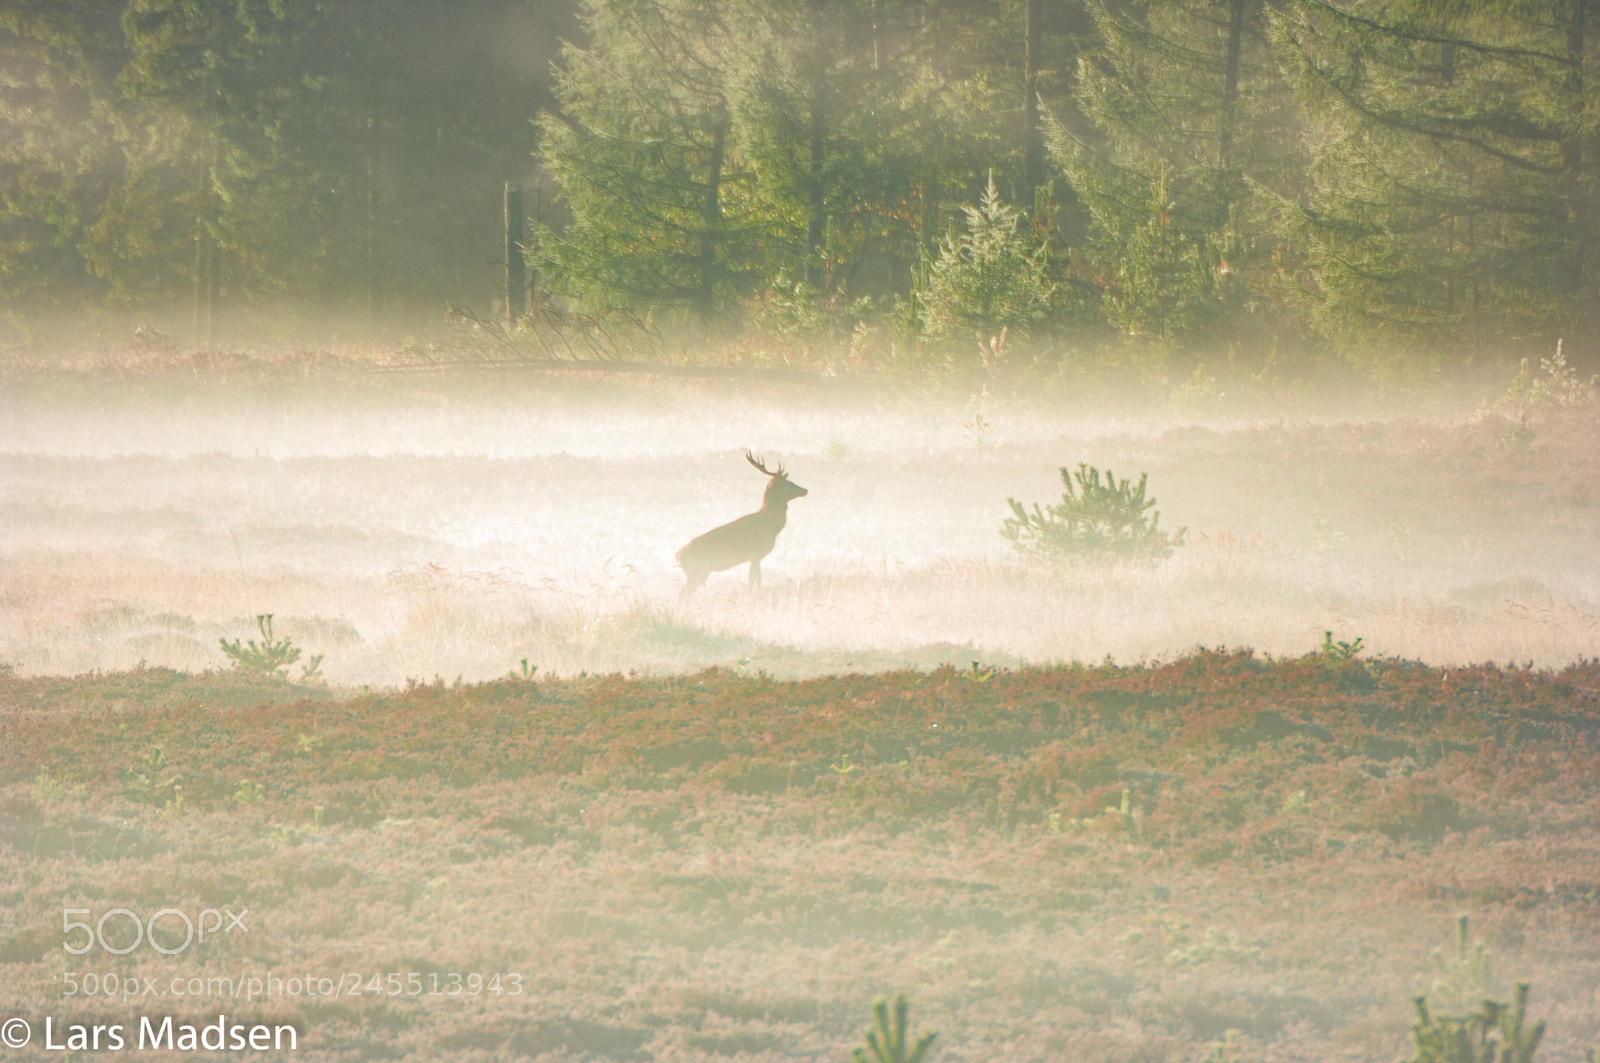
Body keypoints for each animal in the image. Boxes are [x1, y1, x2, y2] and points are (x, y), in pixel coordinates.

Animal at [676, 451, 808, 596]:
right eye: (785, 484)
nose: (804, 490)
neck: (771, 526)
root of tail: (678, 556)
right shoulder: (757, 553)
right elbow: (757, 580)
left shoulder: (753, 558)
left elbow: (752, 581)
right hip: (697, 571)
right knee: (683, 594)